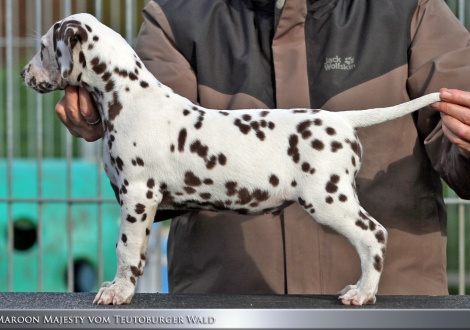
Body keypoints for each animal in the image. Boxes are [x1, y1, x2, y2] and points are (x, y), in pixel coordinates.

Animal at [21, 14, 440, 306]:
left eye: (42, 48)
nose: (24, 73)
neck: (128, 95)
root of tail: (341, 120)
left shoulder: (138, 195)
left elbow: (124, 247)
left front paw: (117, 293)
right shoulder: (144, 205)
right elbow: (136, 253)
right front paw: (122, 286)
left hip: (328, 199)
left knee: (374, 235)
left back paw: (363, 292)